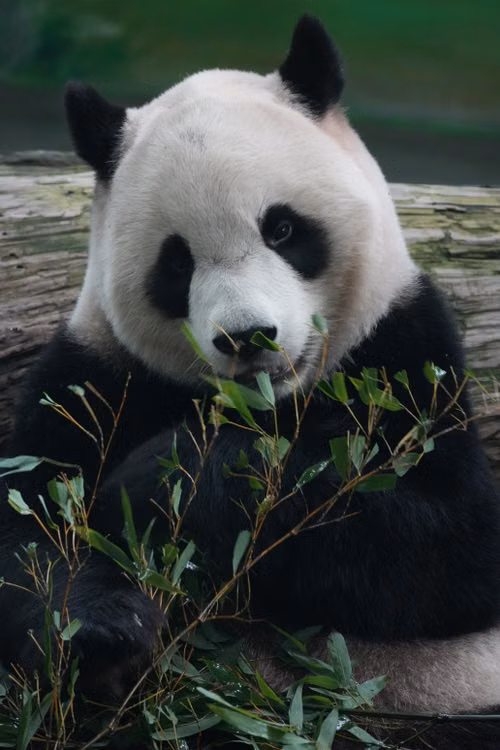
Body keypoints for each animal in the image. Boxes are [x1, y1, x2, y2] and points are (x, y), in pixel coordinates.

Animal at [2, 14, 500, 748]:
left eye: (283, 228)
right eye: (177, 263)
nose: (248, 337)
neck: (268, 406)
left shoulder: (405, 354)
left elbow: (453, 547)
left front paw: (158, 479)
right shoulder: (92, 376)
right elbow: (29, 532)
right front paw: (108, 634)